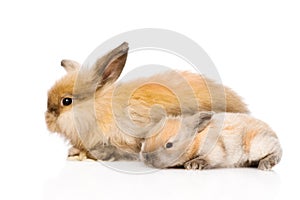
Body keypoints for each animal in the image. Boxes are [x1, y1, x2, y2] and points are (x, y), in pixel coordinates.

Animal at [141, 111, 282, 170]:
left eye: (169, 144)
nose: (146, 157)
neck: (196, 139)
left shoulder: (215, 150)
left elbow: (209, 158)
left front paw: (193, 165)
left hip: (258, 145)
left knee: (277, 151)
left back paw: (265, 164)